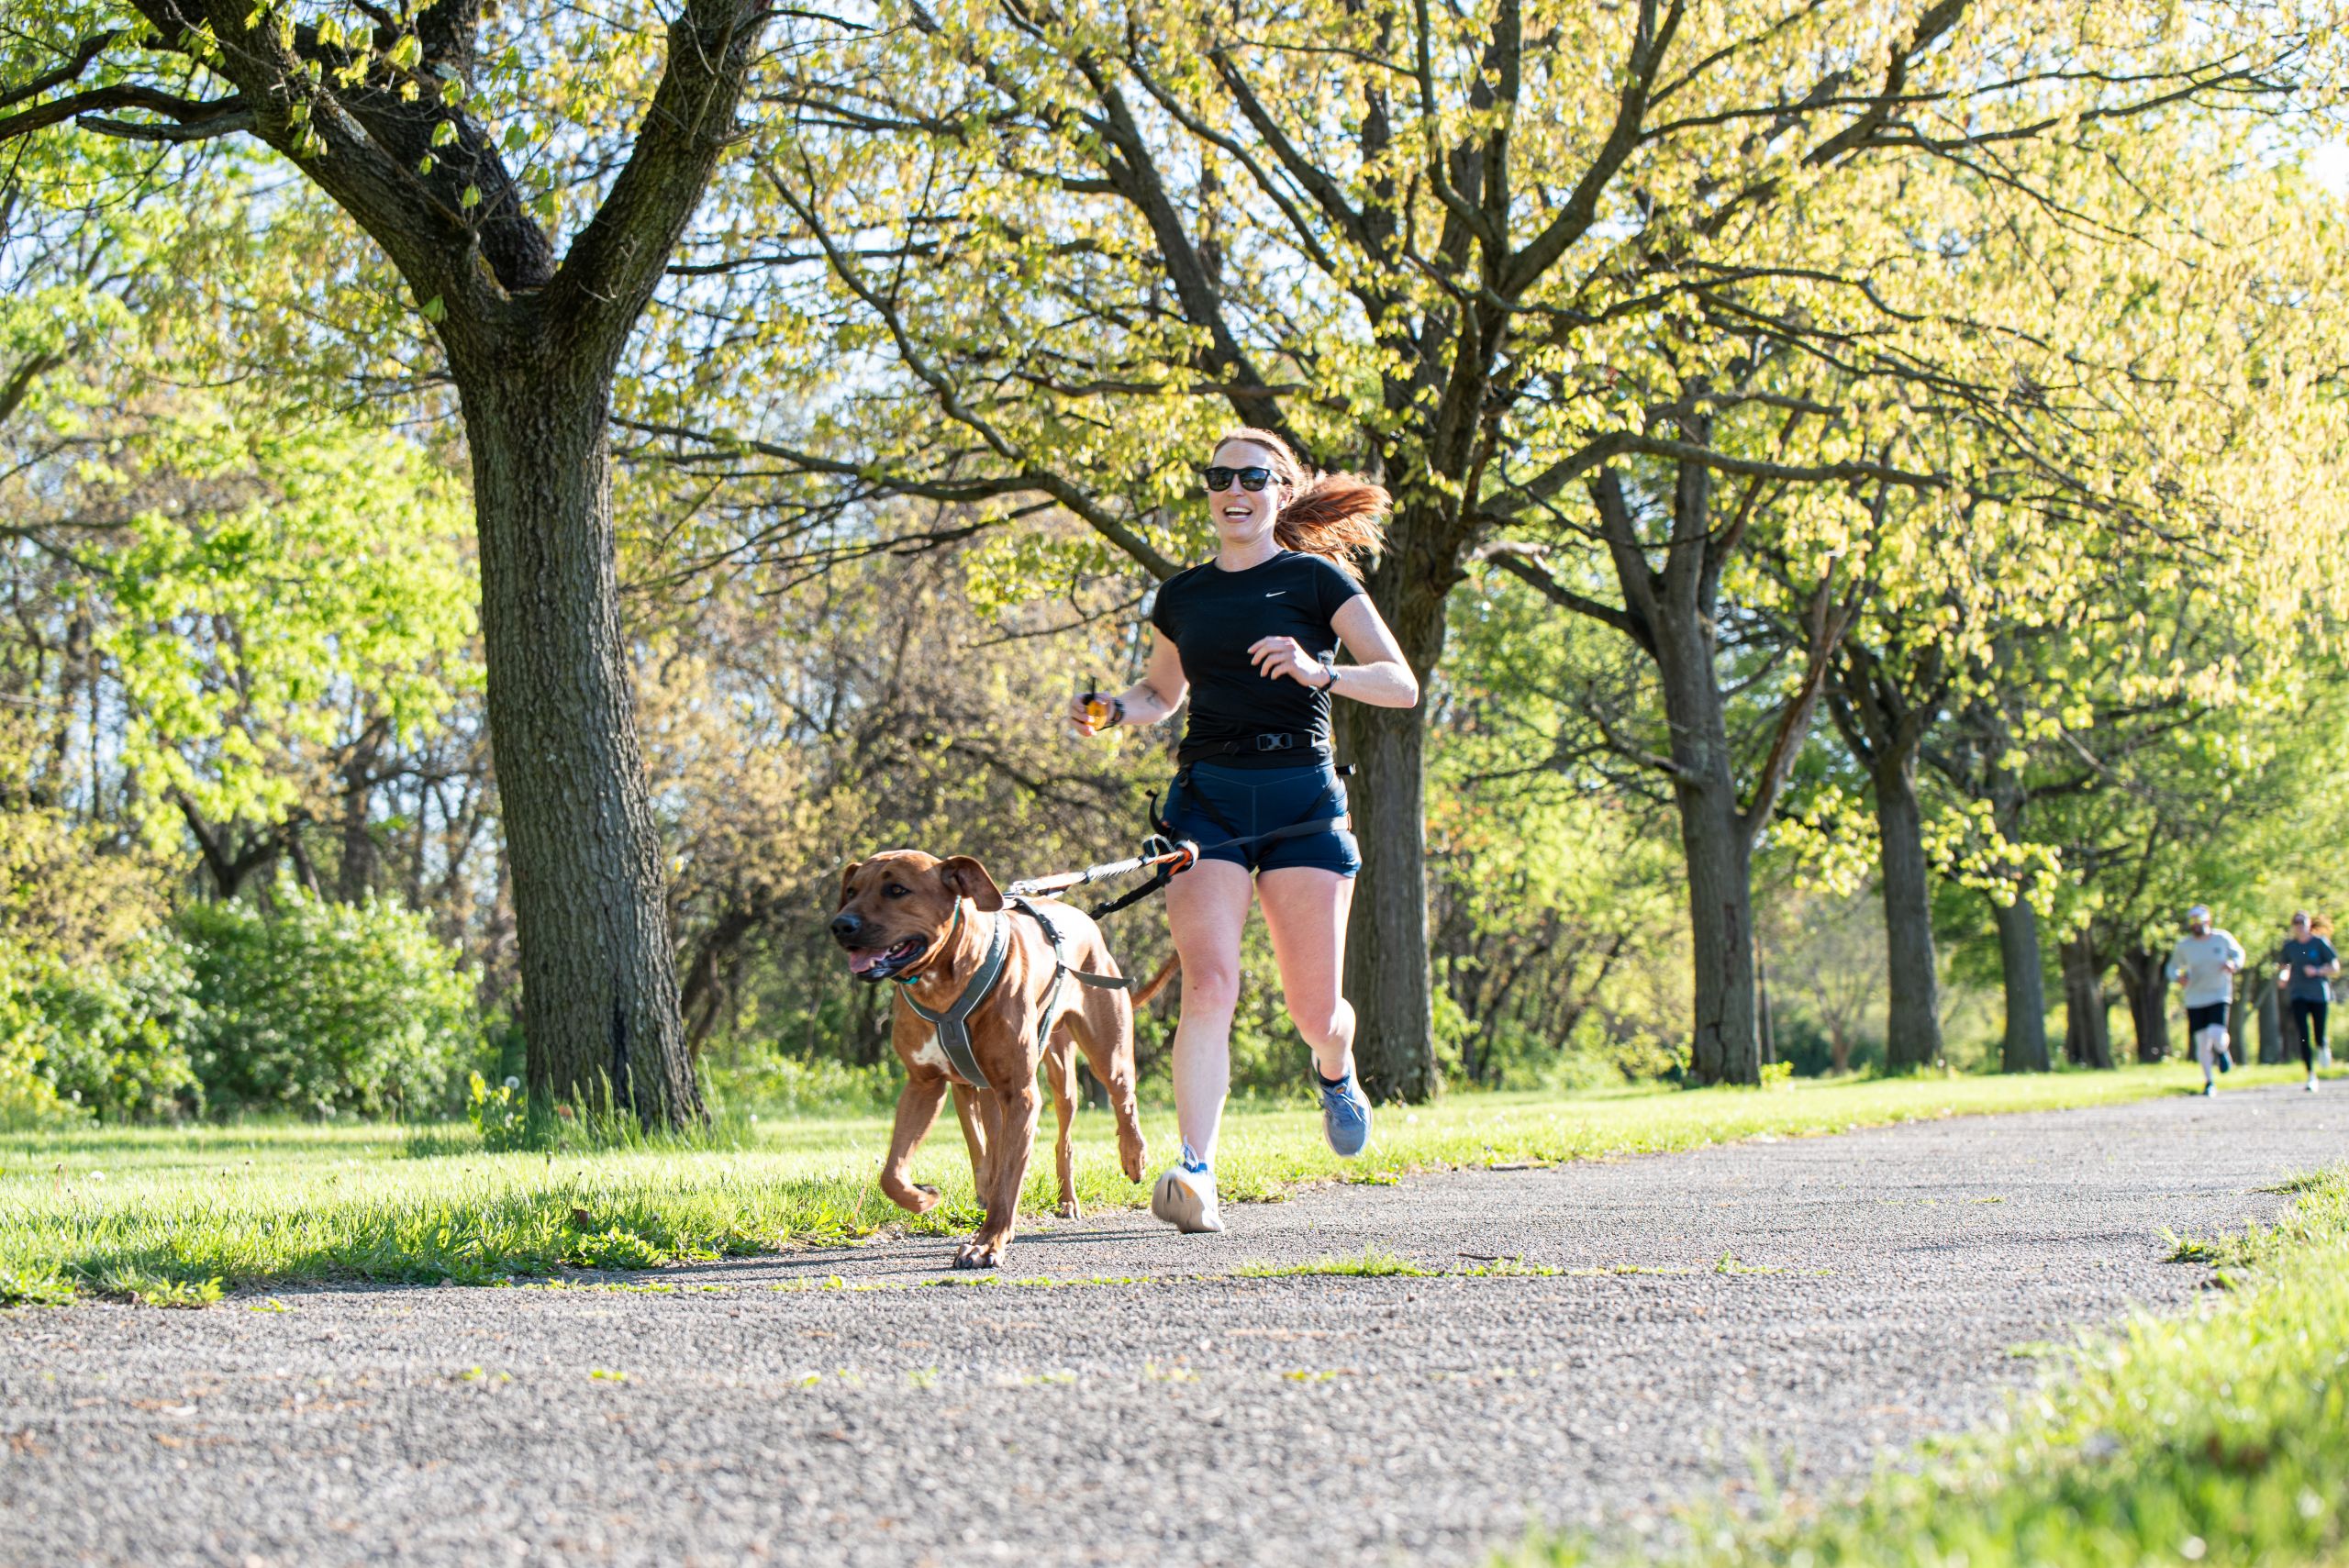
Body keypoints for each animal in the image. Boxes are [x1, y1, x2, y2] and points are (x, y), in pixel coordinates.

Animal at [827, 850, 1174, 1267]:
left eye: (897, 889)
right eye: (851, 890)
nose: (840, 925)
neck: (944, 983)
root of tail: (1085, 918)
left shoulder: (1020, 1094)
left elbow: (1010, 1177)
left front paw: (988, 1242)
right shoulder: (925, 1085)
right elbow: (893, 1172)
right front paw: (923, 1197)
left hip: (1097, 1058)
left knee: (1114, 1106)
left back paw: (1129, 1159)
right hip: (994, 1088)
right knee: (995, 1143)